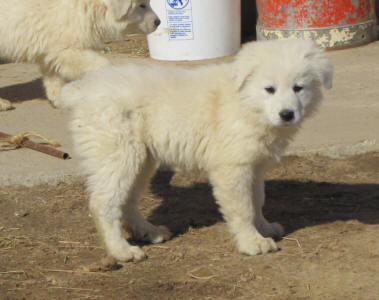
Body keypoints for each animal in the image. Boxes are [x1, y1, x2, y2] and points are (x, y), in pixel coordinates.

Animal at [0, 0, 160, 110]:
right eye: (142, 5)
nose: (158, 22)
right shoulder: (67, 48)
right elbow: (101, 64)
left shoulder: (52, 48)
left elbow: (53, 76)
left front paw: (59, 98)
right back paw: (2, 104)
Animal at [59, 40, 332, 262]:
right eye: (270, 89)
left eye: (298, 88)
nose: (287, 114)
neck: (245, 101)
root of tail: (84, 91)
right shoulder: (233, 168)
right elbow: (242, 207)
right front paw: (252, 242)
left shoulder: (254, 165)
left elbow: (257, 200)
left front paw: (264, 228)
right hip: (117, 155)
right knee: (104, 204)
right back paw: (122, 251)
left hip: (141, 160)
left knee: (127, 200)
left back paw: (149, 232)